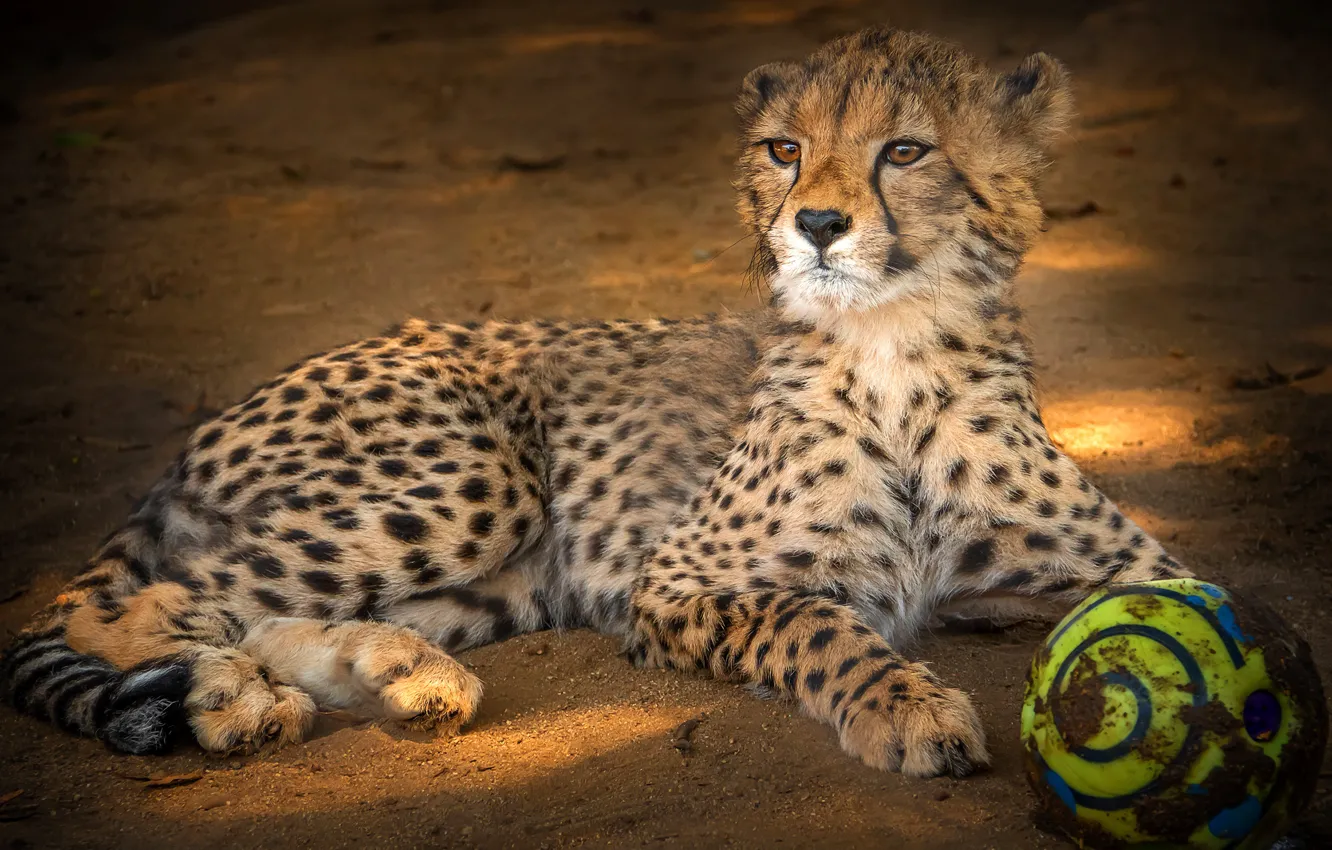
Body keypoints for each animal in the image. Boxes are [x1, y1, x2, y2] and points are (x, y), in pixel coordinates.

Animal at [1, 27, 1188, 779]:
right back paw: (227, 695)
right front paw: (909, 706)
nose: (815, 224)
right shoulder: (676, 580)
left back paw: (397, 671)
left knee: (238, 605)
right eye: (785, 150)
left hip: (505, 582)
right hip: (478, 481)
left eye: (905, 150)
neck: (894, 356)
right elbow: (814, 619)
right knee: (125, 605)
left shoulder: (1141, 567)